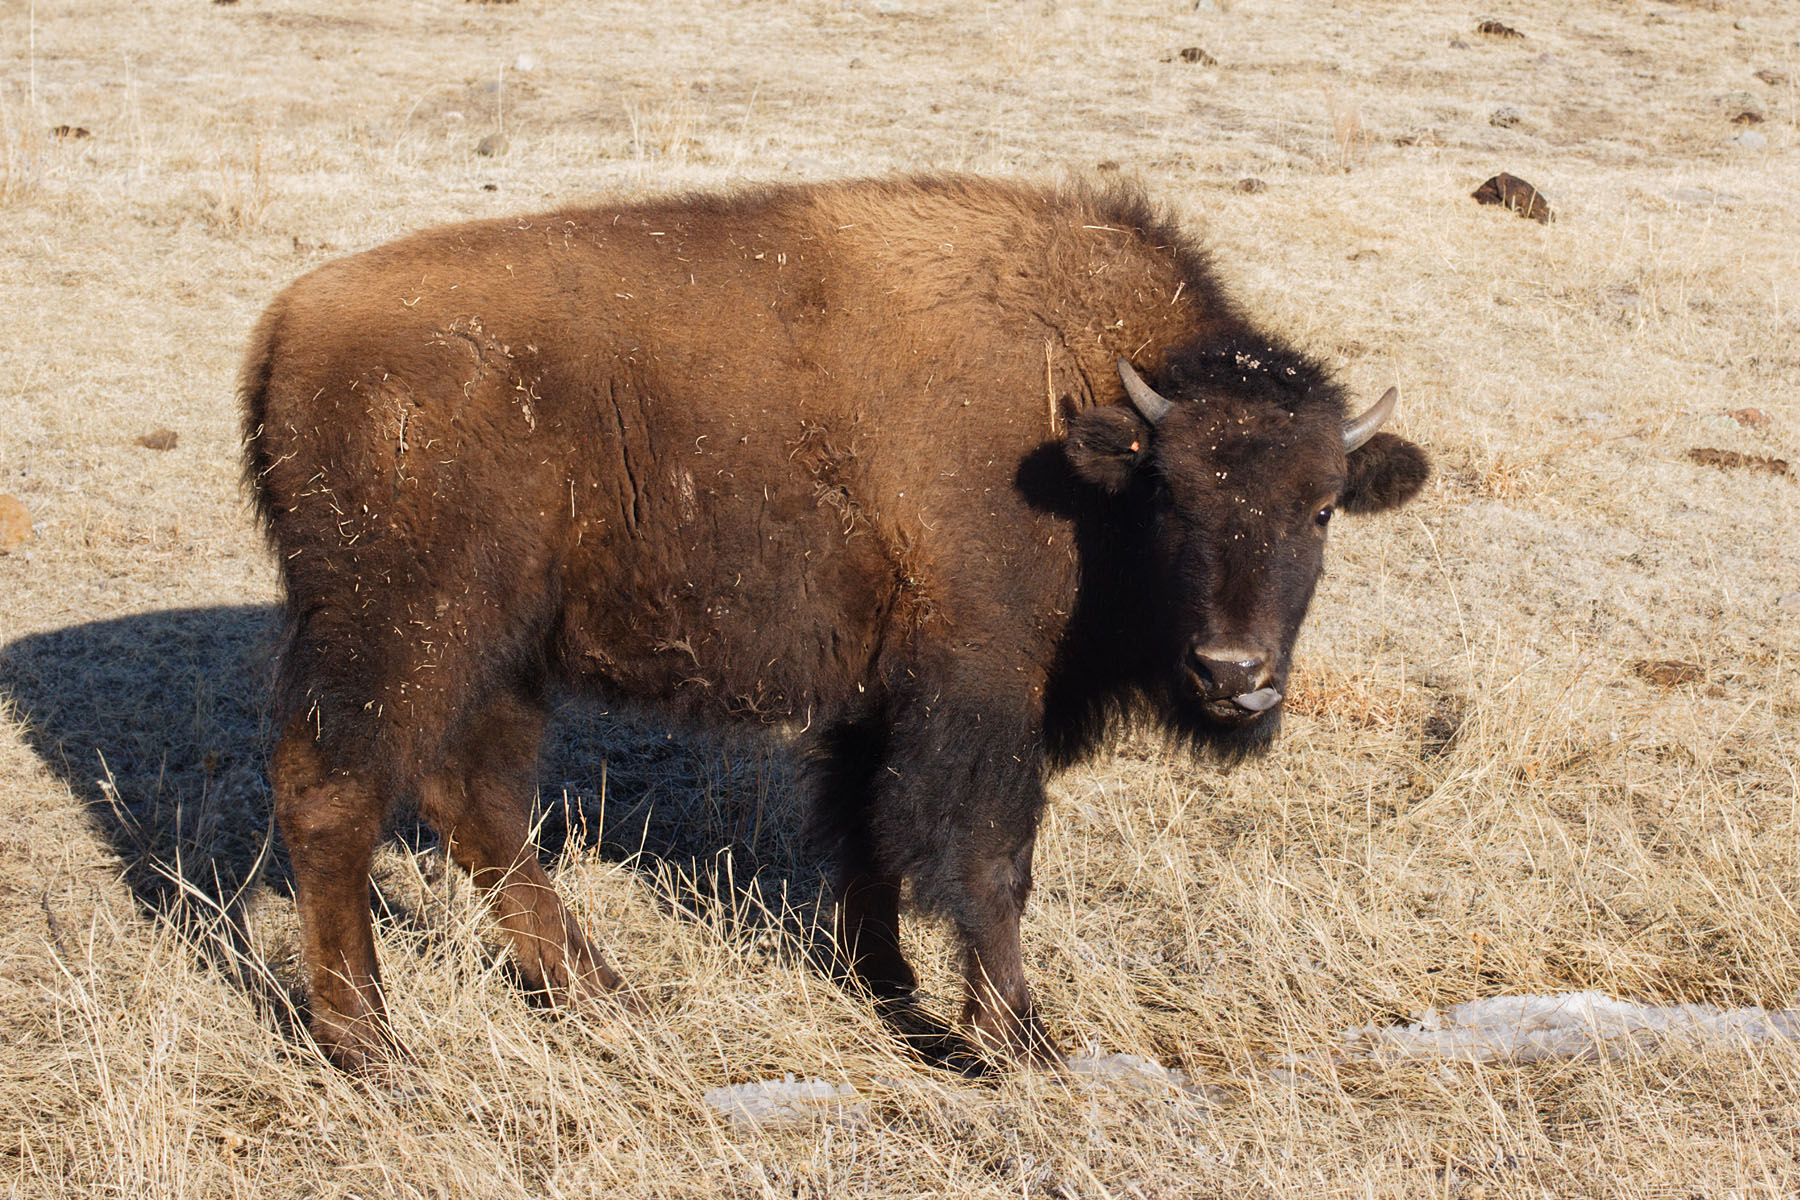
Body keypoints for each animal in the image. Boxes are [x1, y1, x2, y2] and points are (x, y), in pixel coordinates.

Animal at [239, 173, 1425, 1072]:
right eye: (1172, 495)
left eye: (1322, 507)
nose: (1235, 672)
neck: (1083, 429)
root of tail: (284, 331)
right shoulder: (982, 682)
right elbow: (989, 855)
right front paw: (1018, 1043)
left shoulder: (881, 696)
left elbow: (869, 835)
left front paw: (886, 986)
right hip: (399, 634)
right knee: (334, 795)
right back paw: (369, 1044)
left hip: (503, 650)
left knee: (477, 804)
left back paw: (601, 998)